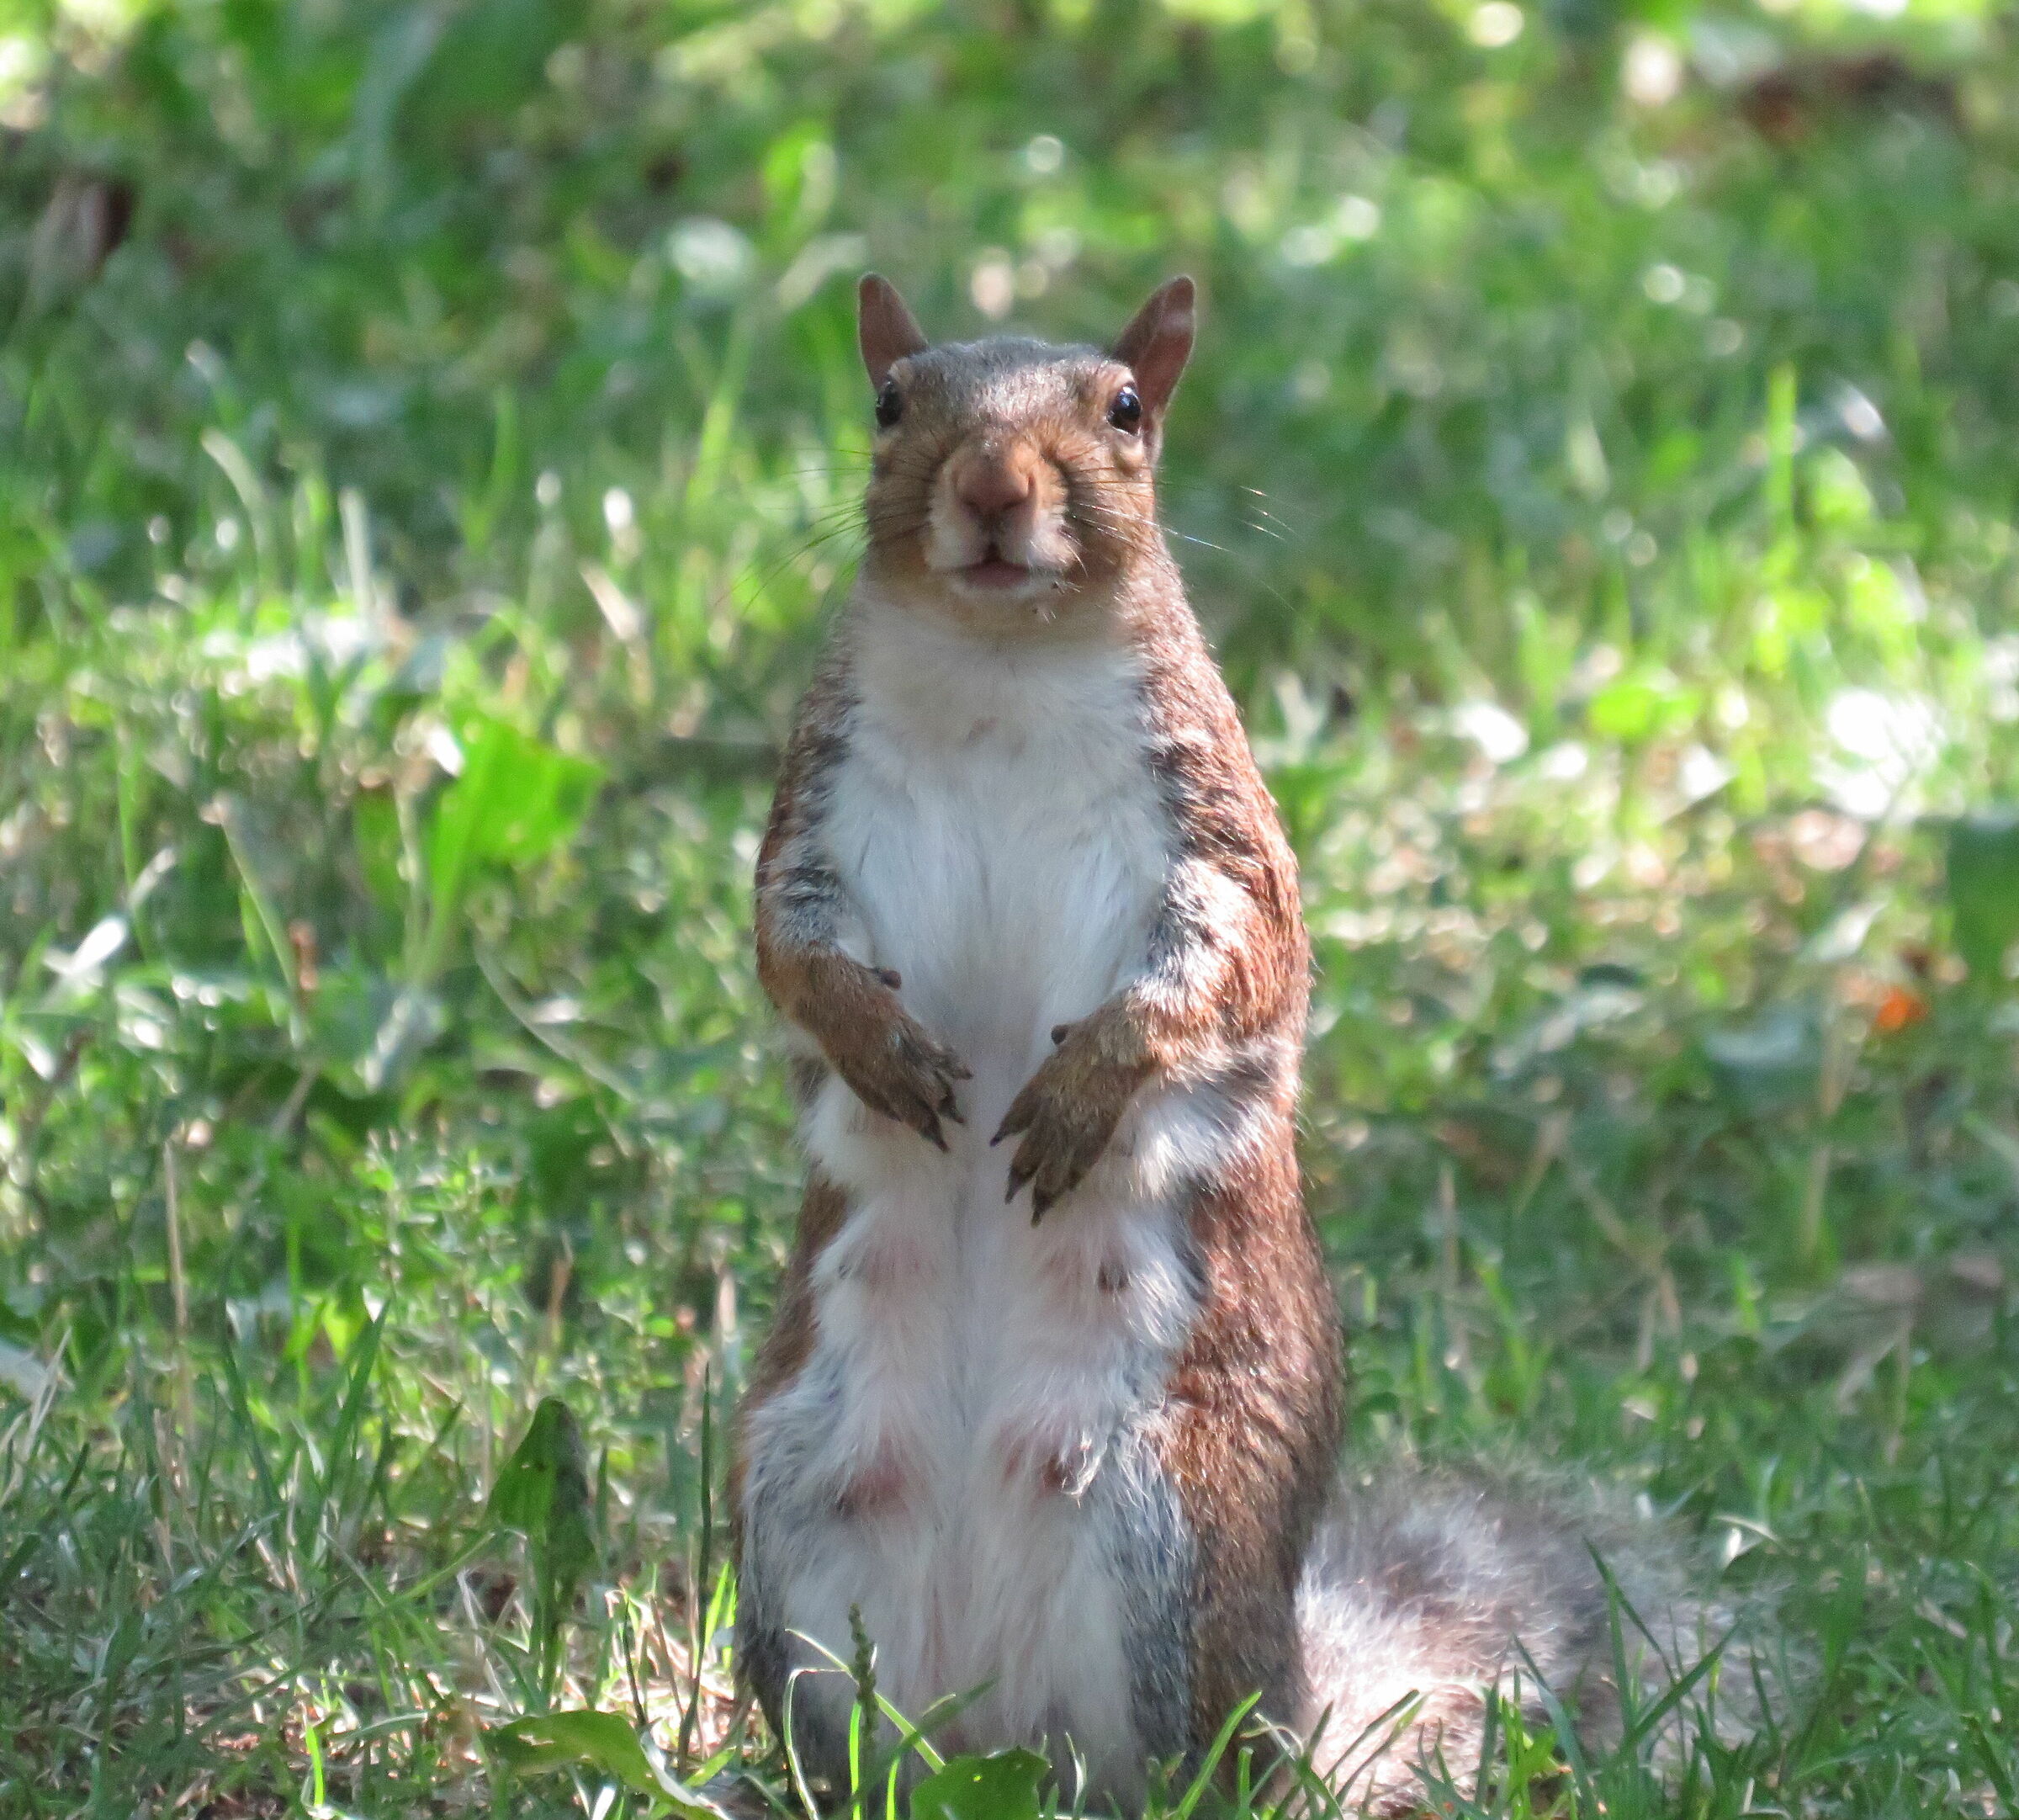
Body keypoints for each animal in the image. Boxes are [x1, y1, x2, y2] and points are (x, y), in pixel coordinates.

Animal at [730, 276, 1695, 1812]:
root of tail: (995, 1727)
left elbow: (1228, 965)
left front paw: (1090, 1085)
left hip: (1172, 1531)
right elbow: (789, 942)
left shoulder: (1220, 830)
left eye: (1126, 408)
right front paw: (877, 1042)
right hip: (794, 1513)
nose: (992, 486)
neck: (1003, 666)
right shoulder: (812, 816)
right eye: (890, 401)